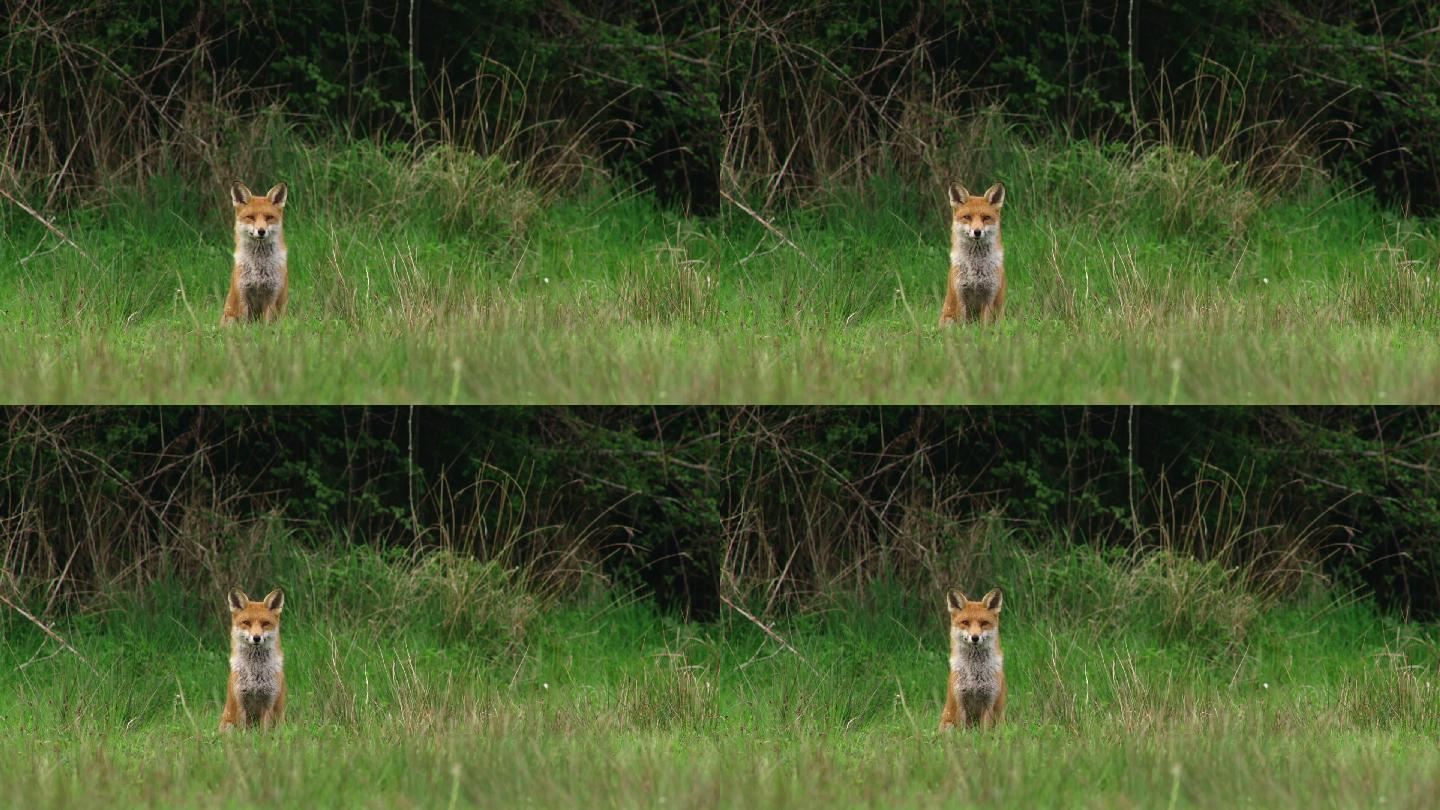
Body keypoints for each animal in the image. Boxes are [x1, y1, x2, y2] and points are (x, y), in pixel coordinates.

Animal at [218, 180, 289, 324]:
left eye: (269, 217)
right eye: (250, 217)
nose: (261, 231)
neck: (259, 266)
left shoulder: (271, 296)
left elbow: (266, 325)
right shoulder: (243, 295)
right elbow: (245, 325)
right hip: (230, 319)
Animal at [218, 582, 286, 729]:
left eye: (265, 623)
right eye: (246, 622)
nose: (256, 638)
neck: (256, 672)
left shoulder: (269, 703)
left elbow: (264, 732)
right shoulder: (241, 702)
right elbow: (243, 732)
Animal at [938, 181, 1008, 322]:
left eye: (986, 217)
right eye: (967, 217)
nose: (977, 232)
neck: (976, 266)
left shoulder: (989, 296)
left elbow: (984, 324)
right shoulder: (961, 295)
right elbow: (963, 324)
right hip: (948, 319)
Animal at [938, 582, 1008, 729]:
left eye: (984, 623)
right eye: (965, 622)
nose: (975, 637)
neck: (975, 671)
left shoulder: (988, 702)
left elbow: (984, 731)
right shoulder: (960, 702)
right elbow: (962, 732)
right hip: (948, 726)